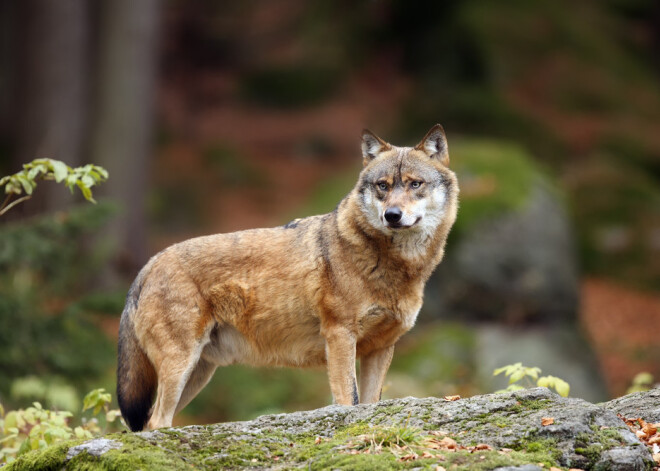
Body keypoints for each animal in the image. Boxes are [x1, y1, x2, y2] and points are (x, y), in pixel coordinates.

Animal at [116, 124, 456, 432]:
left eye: (415, 184)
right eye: (382, 186)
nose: (392, 215)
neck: (395, 265)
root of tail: (149, 264)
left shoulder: (381, 348)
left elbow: (370, 404)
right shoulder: (340, 336)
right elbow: (349, 400)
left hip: (197, 373)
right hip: (181, 367)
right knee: (156, 422)